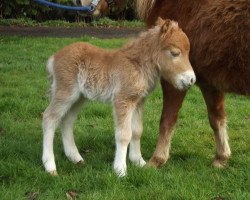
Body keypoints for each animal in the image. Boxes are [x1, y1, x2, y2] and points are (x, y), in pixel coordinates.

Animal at [41, 18, 195, 177]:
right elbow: (124, 134)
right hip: (65, 92)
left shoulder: (138, 101)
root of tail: (53, 58)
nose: (191, 80)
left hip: (79, 97)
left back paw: (76, 158)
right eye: (175, 53)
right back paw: (50, 166)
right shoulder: (123, 99)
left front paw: (139, 162)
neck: (137, 64)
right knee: (49, 118)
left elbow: (137, 131)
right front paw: (120, 170)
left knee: (67, 121)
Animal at [73, 0, 249, 168]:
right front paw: (221, 158)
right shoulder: (210, 84)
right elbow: (217, 119)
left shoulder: (176, 81)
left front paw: (156, 160)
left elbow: (167, 119)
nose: (80, 4)